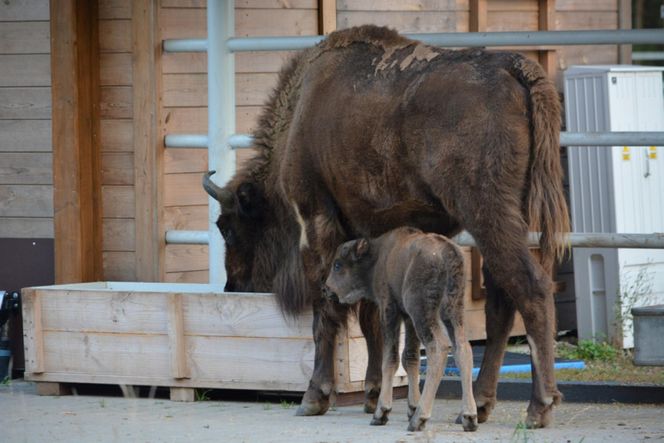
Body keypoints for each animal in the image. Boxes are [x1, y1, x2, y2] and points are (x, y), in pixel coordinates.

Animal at [322, 227, 474, 432]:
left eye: (337, 265)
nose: (326, 289)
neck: (377, 257)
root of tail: (449, 252)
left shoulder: (390, 311)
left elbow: (389, 360)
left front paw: (381, 413)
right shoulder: (408, 319)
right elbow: (410, 358)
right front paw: (411, 407)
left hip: (422, 312)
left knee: (438, 348)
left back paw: (419, 419)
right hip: (453, 311)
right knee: (463, 349)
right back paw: (469, 417)